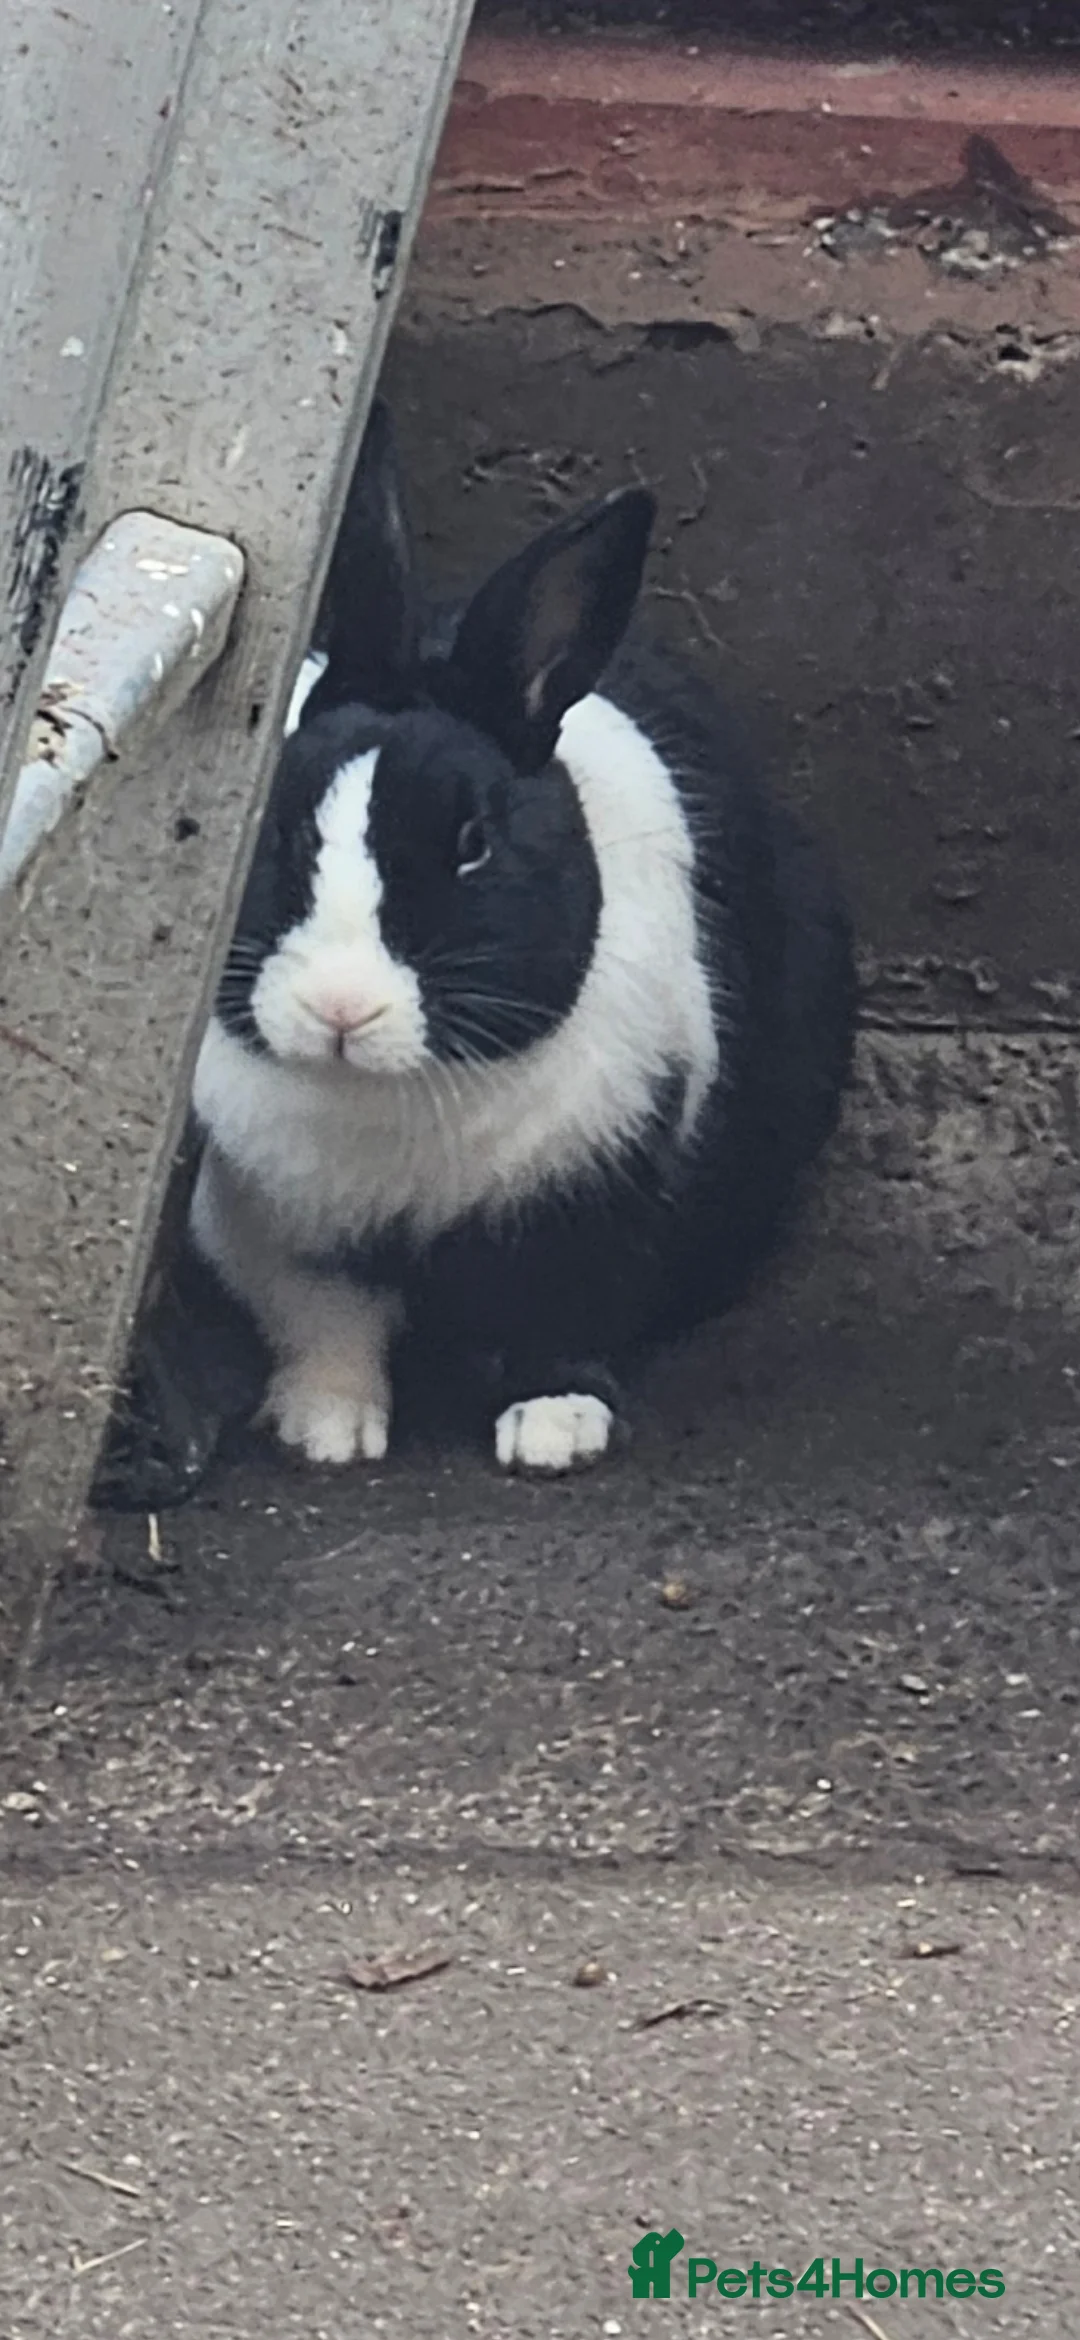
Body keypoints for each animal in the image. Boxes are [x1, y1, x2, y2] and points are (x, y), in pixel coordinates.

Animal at [188, 397, 857, 1476]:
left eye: (473, 843)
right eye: (278, 828)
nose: (340, 1009)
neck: (395, 1097)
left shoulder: (604, 1189)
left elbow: (564, 1316)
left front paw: (553, 1432)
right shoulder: (276, 1228)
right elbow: (327, 1322)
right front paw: (325, 1428)